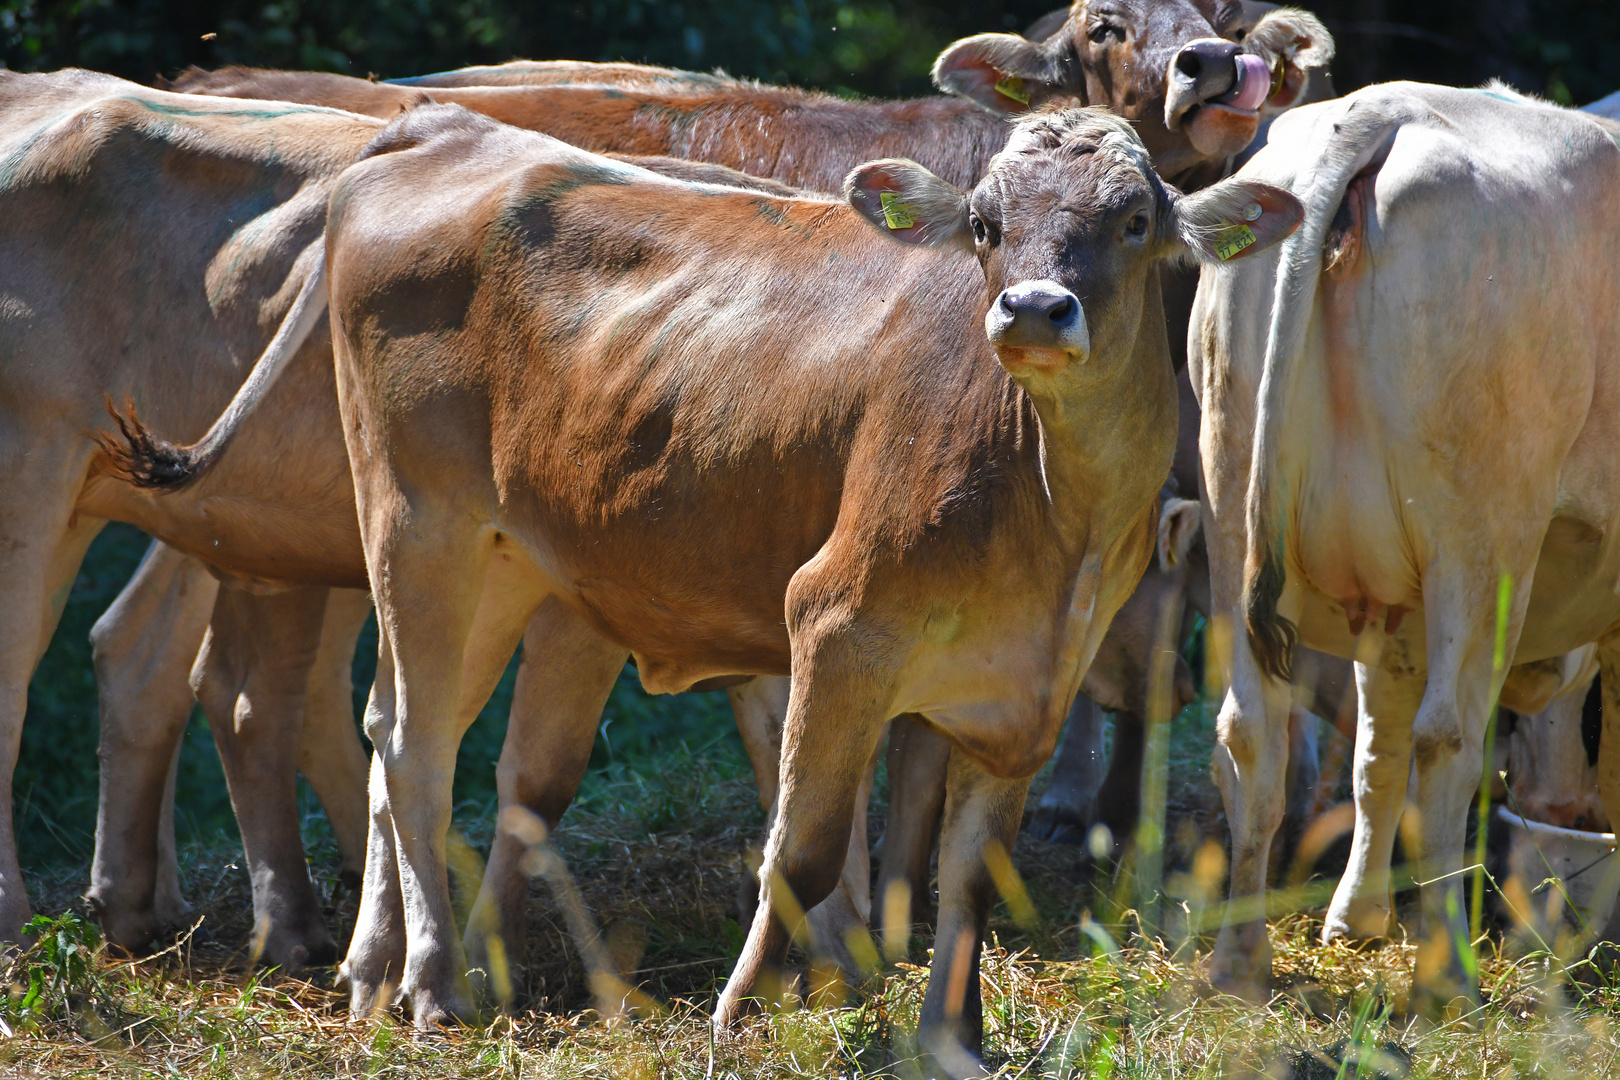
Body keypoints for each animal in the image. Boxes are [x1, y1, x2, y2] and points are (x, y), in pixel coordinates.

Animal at [107, 99, 1302, 1049]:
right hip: (417, 527)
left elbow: (970, 872)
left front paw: (952, 1040)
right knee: (414, 745)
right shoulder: (837, 624)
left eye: (1134, 219)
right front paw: (743, 1012)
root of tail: (452, 131)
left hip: (510, 563)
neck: (1057, 517)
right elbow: (804, 851)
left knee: (396, 725)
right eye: (984, 225)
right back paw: (434, 983)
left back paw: (380, 970)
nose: (1034, 310)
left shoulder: (1025, 692)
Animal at [1192, 80, 1620, 1010]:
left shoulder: (1388, 608)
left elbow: (1372, 753)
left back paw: (1241, 963)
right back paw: (1448, 975)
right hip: (1483, 543)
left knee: (1256, 735)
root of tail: (1377, 110)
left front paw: (1354, 918)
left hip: (1232, 507)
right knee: (1446, 743)